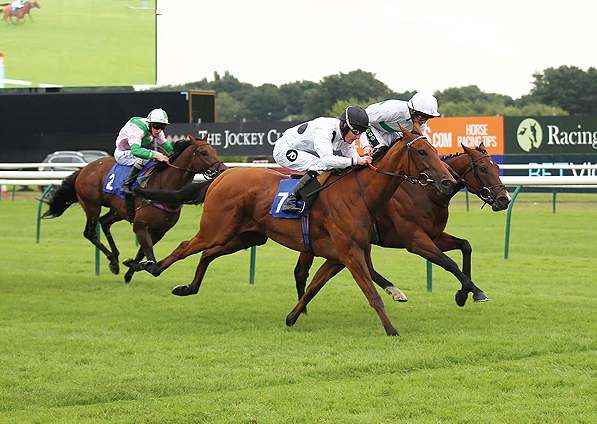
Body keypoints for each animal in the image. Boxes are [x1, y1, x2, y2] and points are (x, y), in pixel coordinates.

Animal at [128, 124, 454, 336]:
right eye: (422, 152)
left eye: (434, 149)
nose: (448, 181)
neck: (359, 194)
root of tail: (223, 176)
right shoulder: (349, 253)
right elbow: (371, 293)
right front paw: (391, 329)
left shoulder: (338, 256)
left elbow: (312, 286)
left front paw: (292, 317)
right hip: (216, 228)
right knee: (185, 246)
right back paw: (149, 266)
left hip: (246, 236)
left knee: (207, 254)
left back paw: (186, 287)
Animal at [292, 142, 510, 312]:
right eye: (483, 169)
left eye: (497, 168)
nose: (504, 199)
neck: (427, 192)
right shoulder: (414, 240)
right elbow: (448, 262)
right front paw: (472, 292)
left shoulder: (434, 235)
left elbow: (465, 245)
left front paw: (468, 293)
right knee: (302, 272)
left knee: (365, 266)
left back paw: (394, 290)